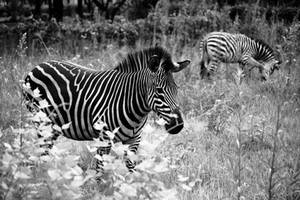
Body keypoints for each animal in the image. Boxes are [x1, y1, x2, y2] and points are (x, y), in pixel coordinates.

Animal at [22, 46, 190, 172]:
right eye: (159, 91)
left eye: (176, 89)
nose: (178, 125)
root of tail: (39, 65)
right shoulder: (104, 139)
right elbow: (100, 169)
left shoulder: (134, 139)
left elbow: (131, 168)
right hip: (40, 121)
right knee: (41, 149)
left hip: (54, 126)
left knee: (46, 150)